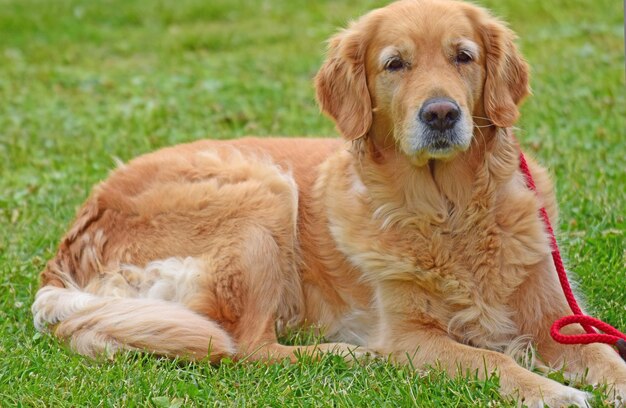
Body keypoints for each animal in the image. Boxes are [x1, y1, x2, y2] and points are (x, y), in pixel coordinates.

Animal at [34, 0, 624, 406]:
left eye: (464, 57)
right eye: (395, 64)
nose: (440, 114)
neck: (450, 211)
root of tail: (66, 249)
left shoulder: (555, 315)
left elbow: (604, 354)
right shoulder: (410, 337)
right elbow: (489, 361)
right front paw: (551, 392)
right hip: (263, 189)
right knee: (246, 348)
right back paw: (347, 356)